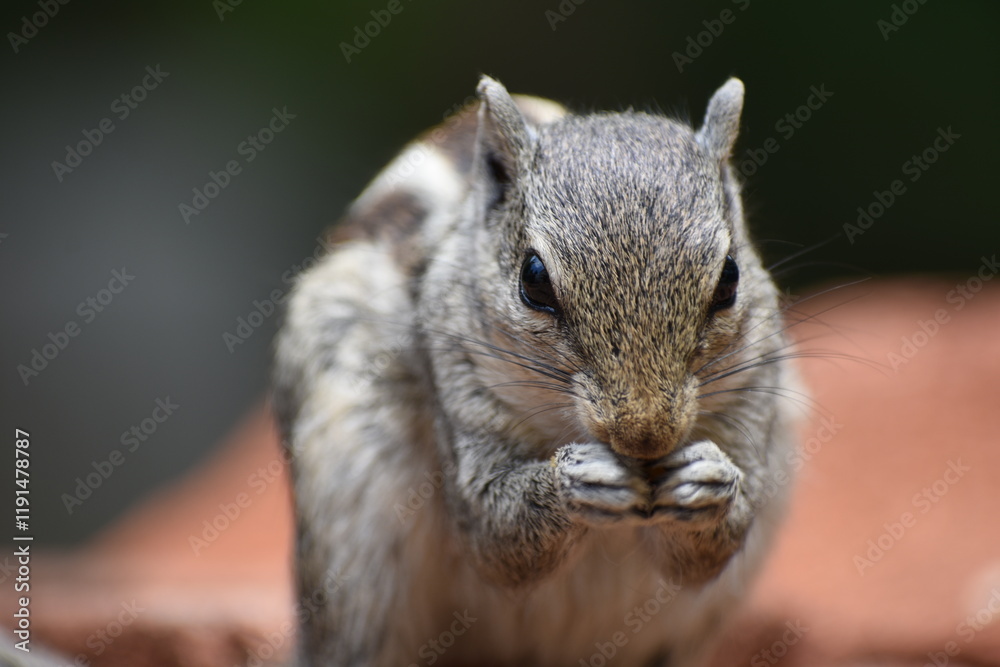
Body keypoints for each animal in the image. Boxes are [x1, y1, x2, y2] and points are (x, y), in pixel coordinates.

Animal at [272, 76, 800, 667]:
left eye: (730, 277)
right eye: (534, 279)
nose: (645, 436)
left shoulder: (752, 398)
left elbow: (715, 546)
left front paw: (708, 480)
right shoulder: (458, 386)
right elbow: (495, 534)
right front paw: (574, 480)